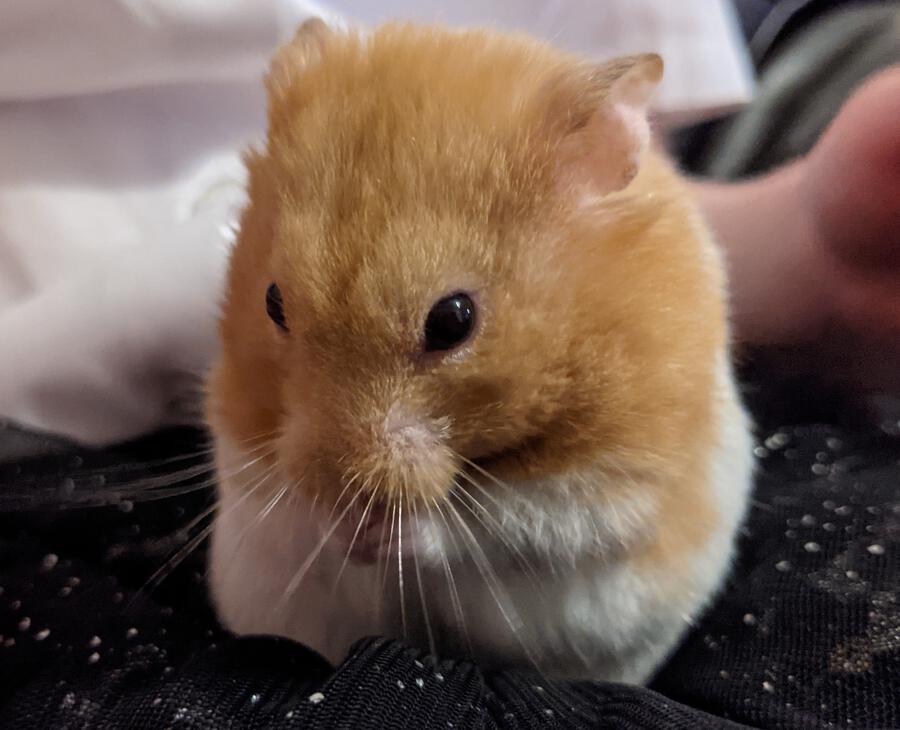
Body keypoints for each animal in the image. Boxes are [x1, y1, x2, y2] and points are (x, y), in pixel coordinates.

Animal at [205, 19, 754, 683]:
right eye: (273, 303)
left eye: (453, 321)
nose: (338, 485)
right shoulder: (245, 448)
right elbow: (284, 505)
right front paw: (339, 527)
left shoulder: (609, 485)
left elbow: (493, 527)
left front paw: (380, 534)